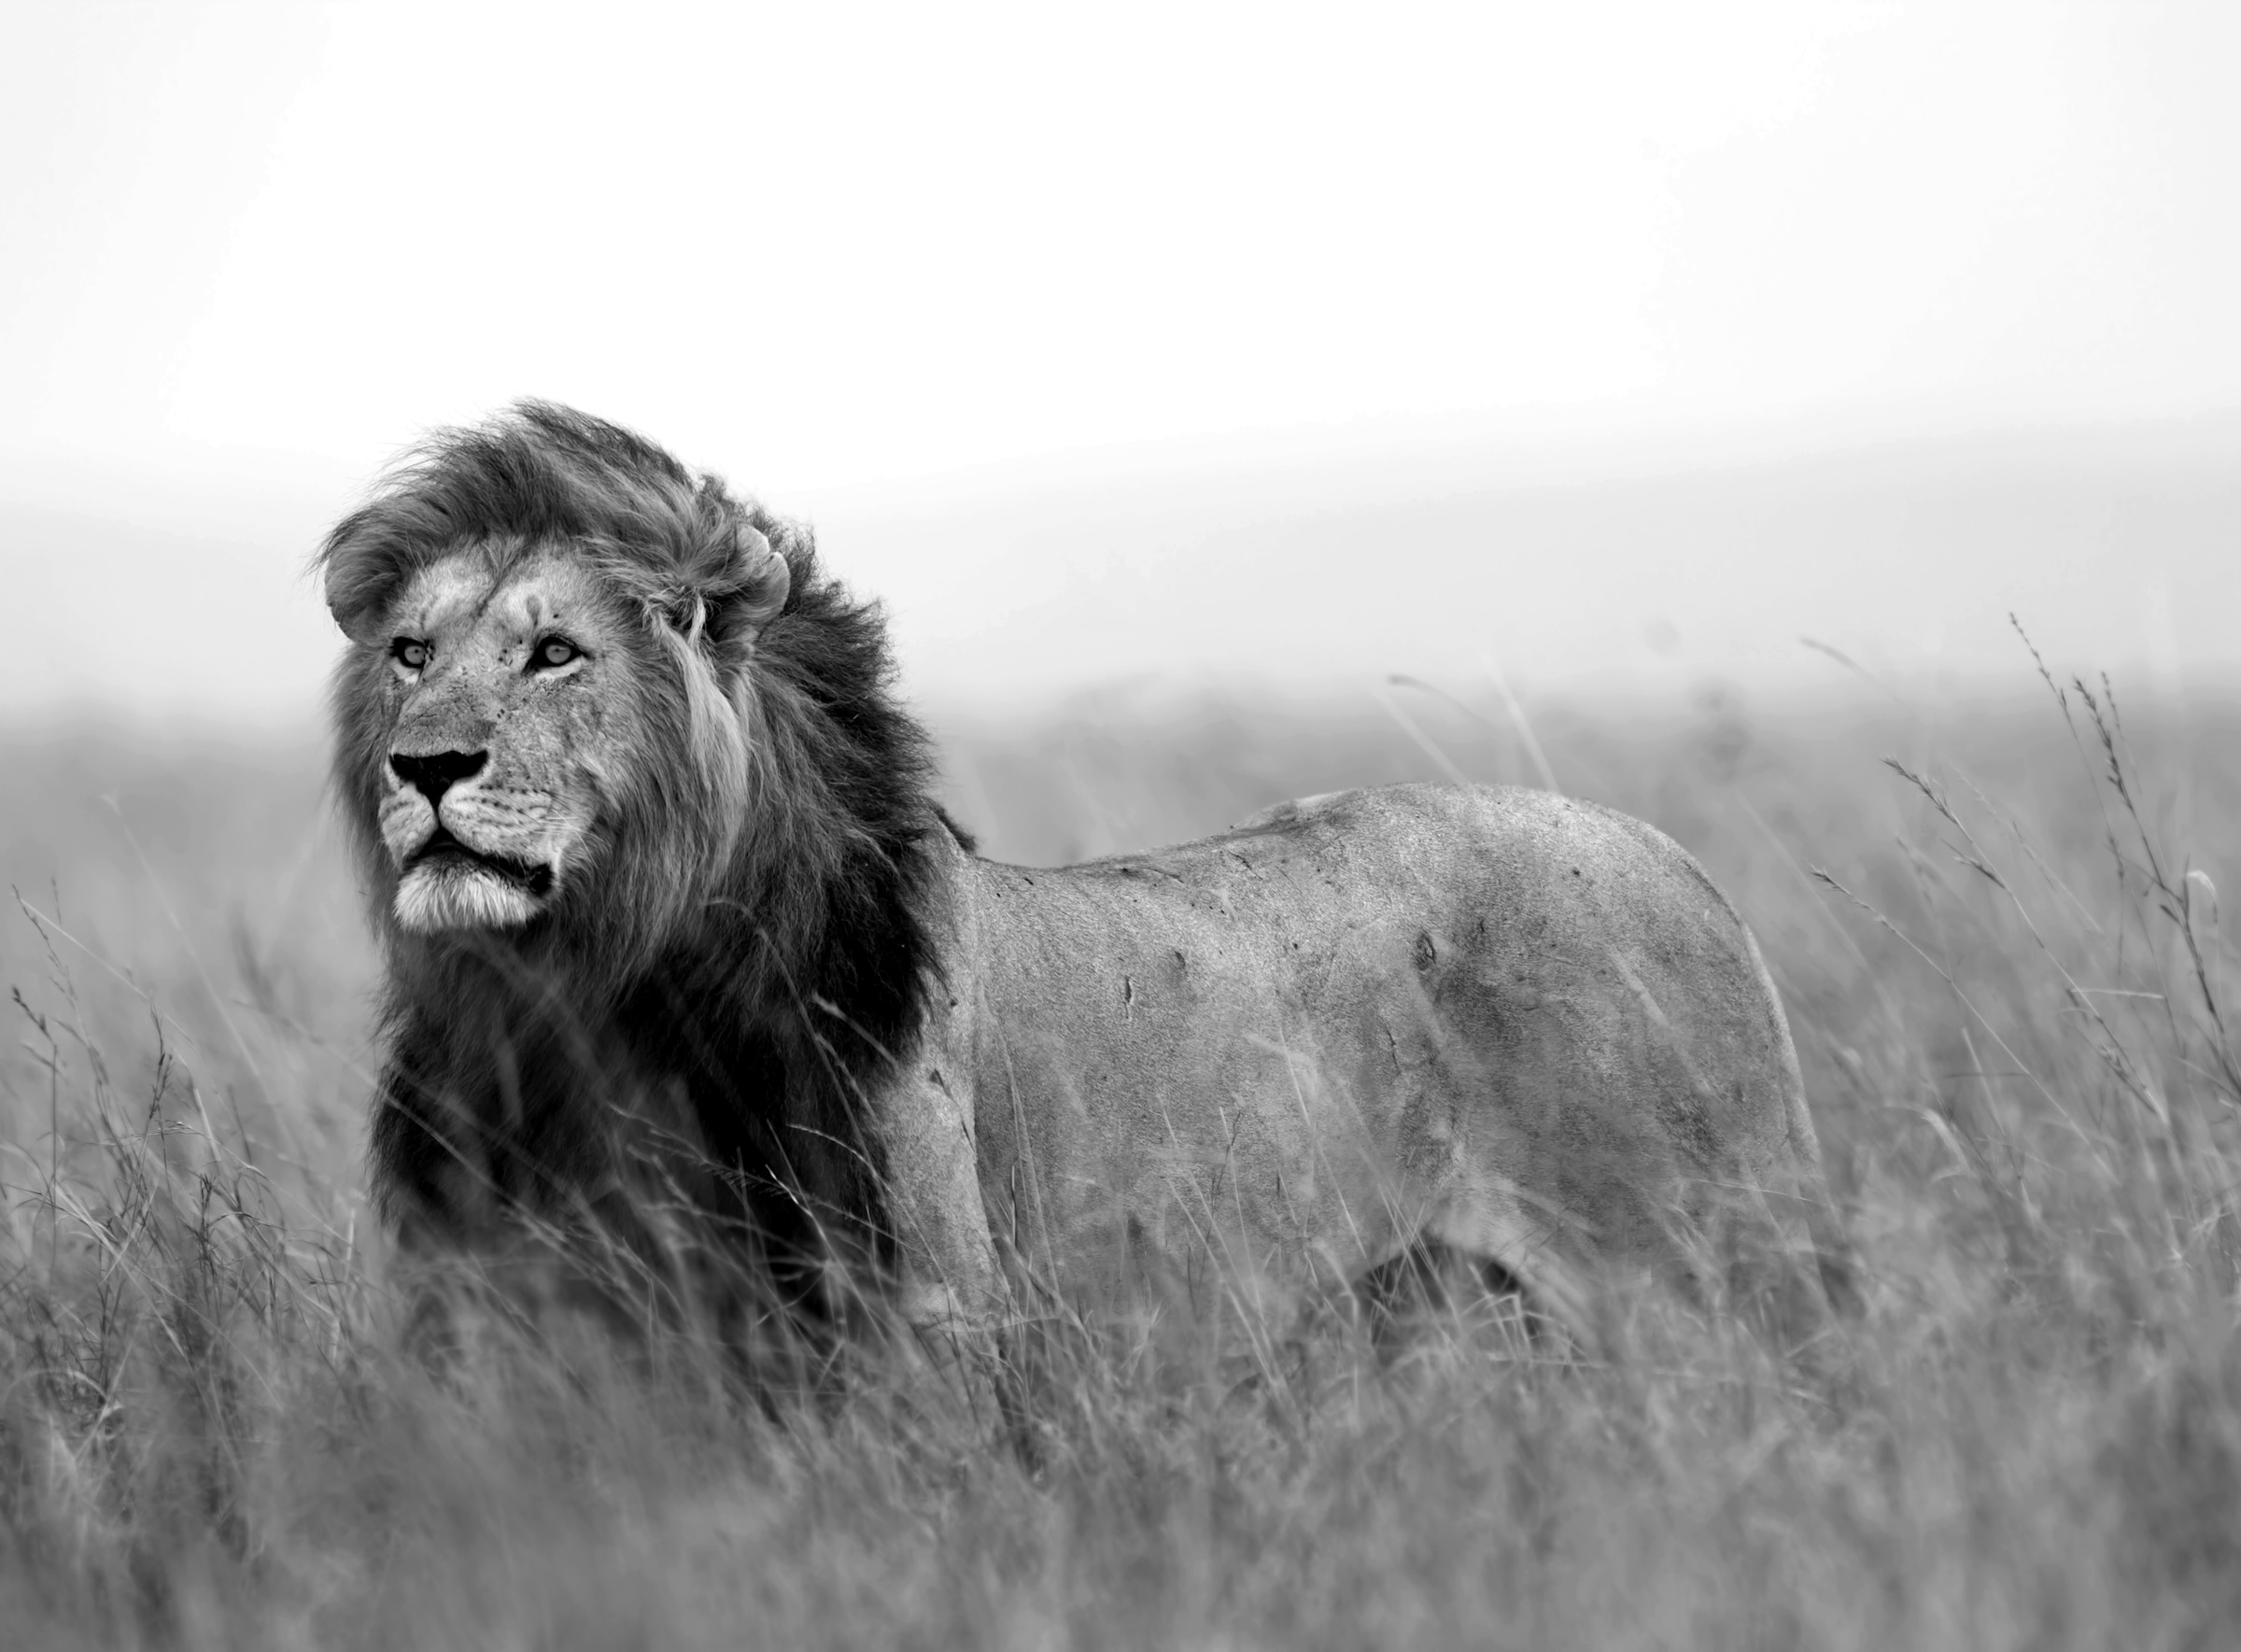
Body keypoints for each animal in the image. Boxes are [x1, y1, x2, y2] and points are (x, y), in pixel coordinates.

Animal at [319, 401, 1853, 1377]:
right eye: (410, 652)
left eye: (555, 653)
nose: (426, 765)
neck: (589, 998)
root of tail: (1683, 863)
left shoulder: (925, 1325)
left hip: (1712, 1279)